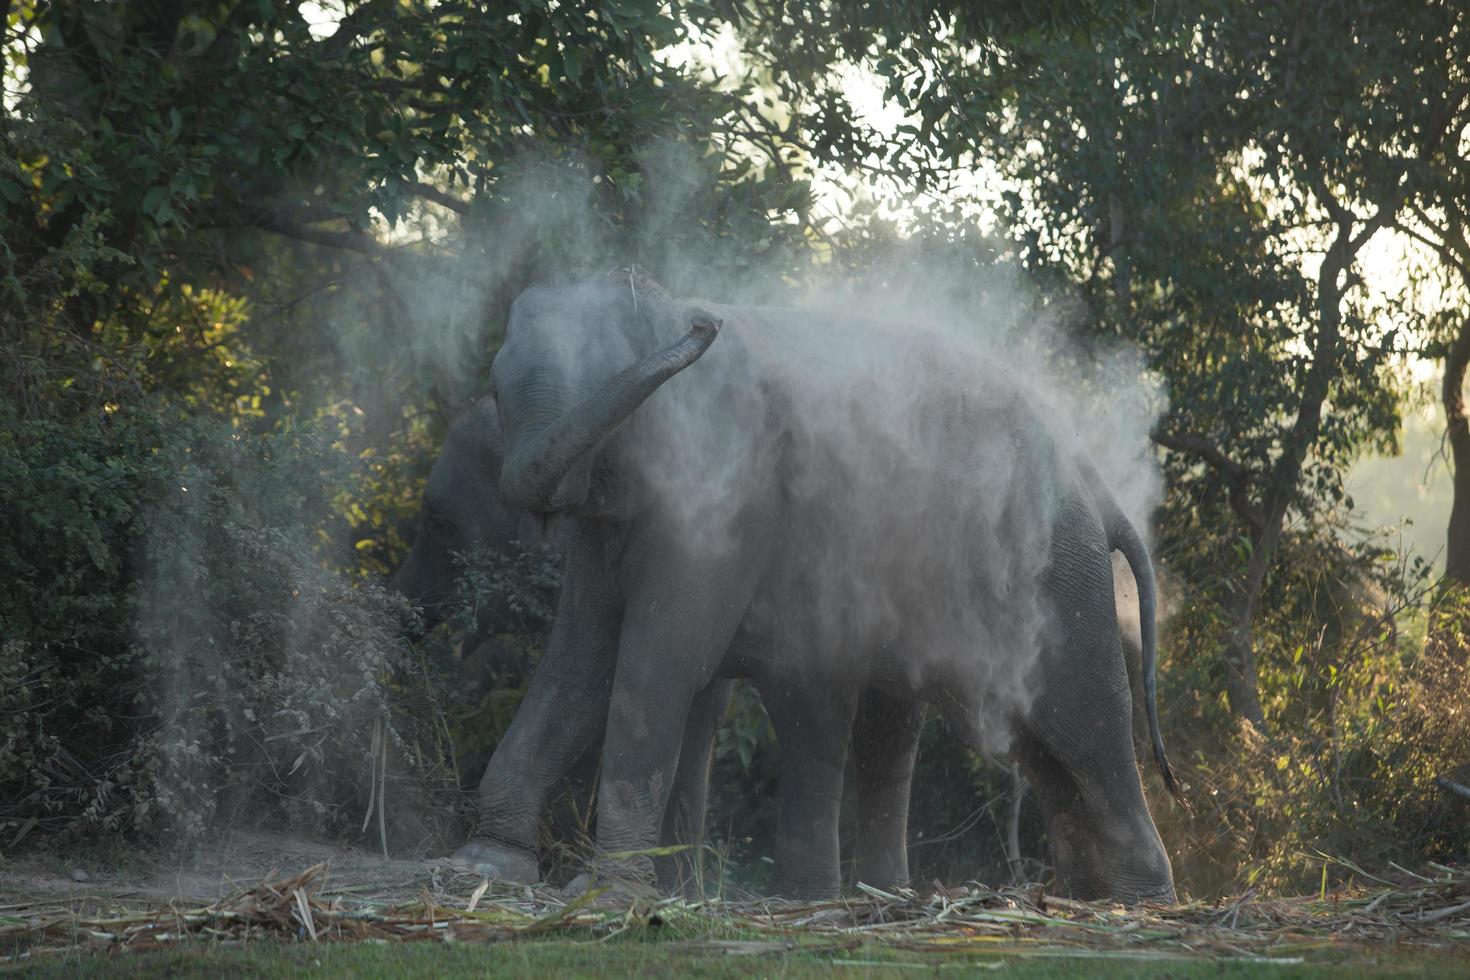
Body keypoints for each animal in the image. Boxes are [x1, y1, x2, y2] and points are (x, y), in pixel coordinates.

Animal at [470, 270, 1181, 903]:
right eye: (497, 398)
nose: (706, 324)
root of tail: (1098, 484)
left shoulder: (730, 496)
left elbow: (659, 661)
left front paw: (605, 892)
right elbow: (579, 661)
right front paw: (487, 867)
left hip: (1056, 574)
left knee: (1080, 720)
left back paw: (1139, 902)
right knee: (988, 737)